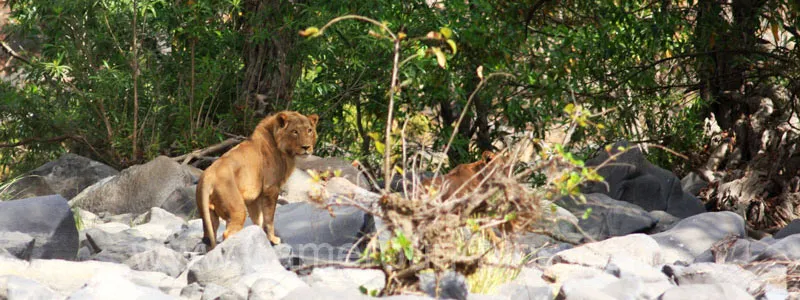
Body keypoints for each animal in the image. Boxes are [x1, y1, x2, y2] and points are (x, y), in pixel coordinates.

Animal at [195, 110, 318, 248]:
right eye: (295, 131)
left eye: (309, 130)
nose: (306, 147)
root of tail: (207, 177)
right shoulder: (271, 189)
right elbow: (269, 219)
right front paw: (273, 240)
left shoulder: (253, 198)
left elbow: (257, 219)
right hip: (237, 209)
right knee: (228, 234)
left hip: (209, 215)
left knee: (210, 236)